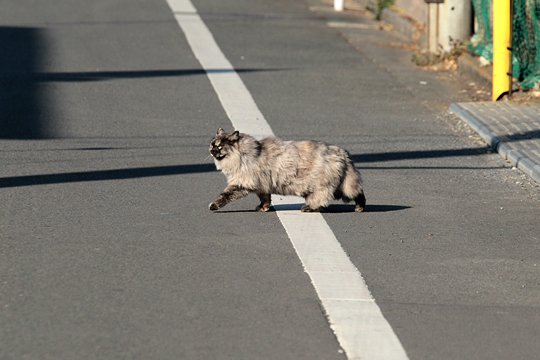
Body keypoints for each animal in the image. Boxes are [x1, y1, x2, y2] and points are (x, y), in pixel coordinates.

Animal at [209, 128, 364, 212]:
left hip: (321, 187)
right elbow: (265, 199)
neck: (244, 155)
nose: (211, 151)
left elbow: (224, 196)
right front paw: (263, 208)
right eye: (211, 145)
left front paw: (213, 206)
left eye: (219, 147)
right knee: (358, 193)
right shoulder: (261, 186)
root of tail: (343, 153)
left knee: (322, 199)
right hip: (341, 186)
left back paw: (309, 208)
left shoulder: (241, 183)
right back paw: (360, 208)